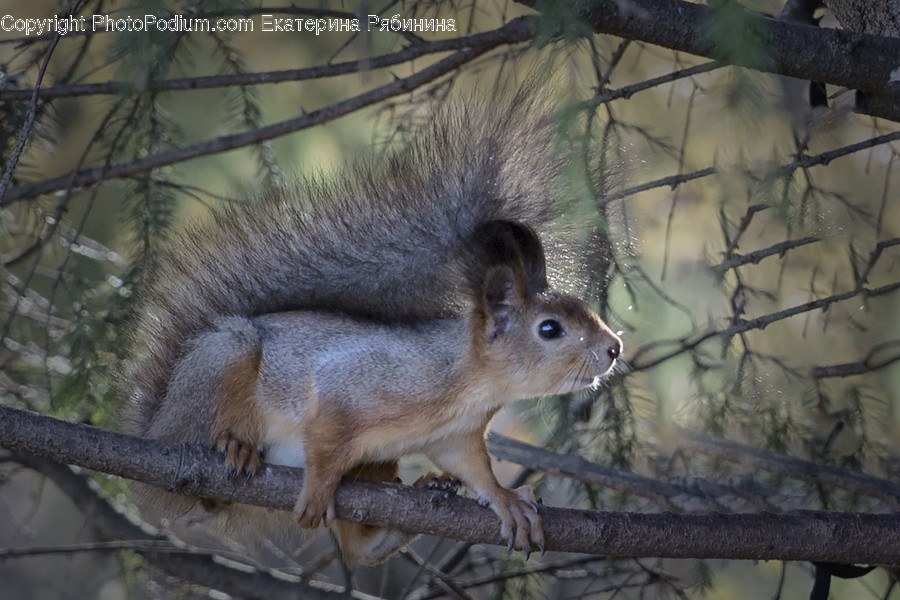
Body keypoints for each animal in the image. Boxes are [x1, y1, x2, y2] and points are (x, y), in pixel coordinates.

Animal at [120, 89, 623, 567]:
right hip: (222, 365)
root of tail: (156, 426)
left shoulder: (456, 436)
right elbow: (325, 441)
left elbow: (475, 469)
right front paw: (318, 487)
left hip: (377, 464)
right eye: (550, 329)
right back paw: (234, 445)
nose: (615, 347)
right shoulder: (351, 387)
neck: (468, 383)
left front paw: (505, 501)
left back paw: (413, 509)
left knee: (357, 549)